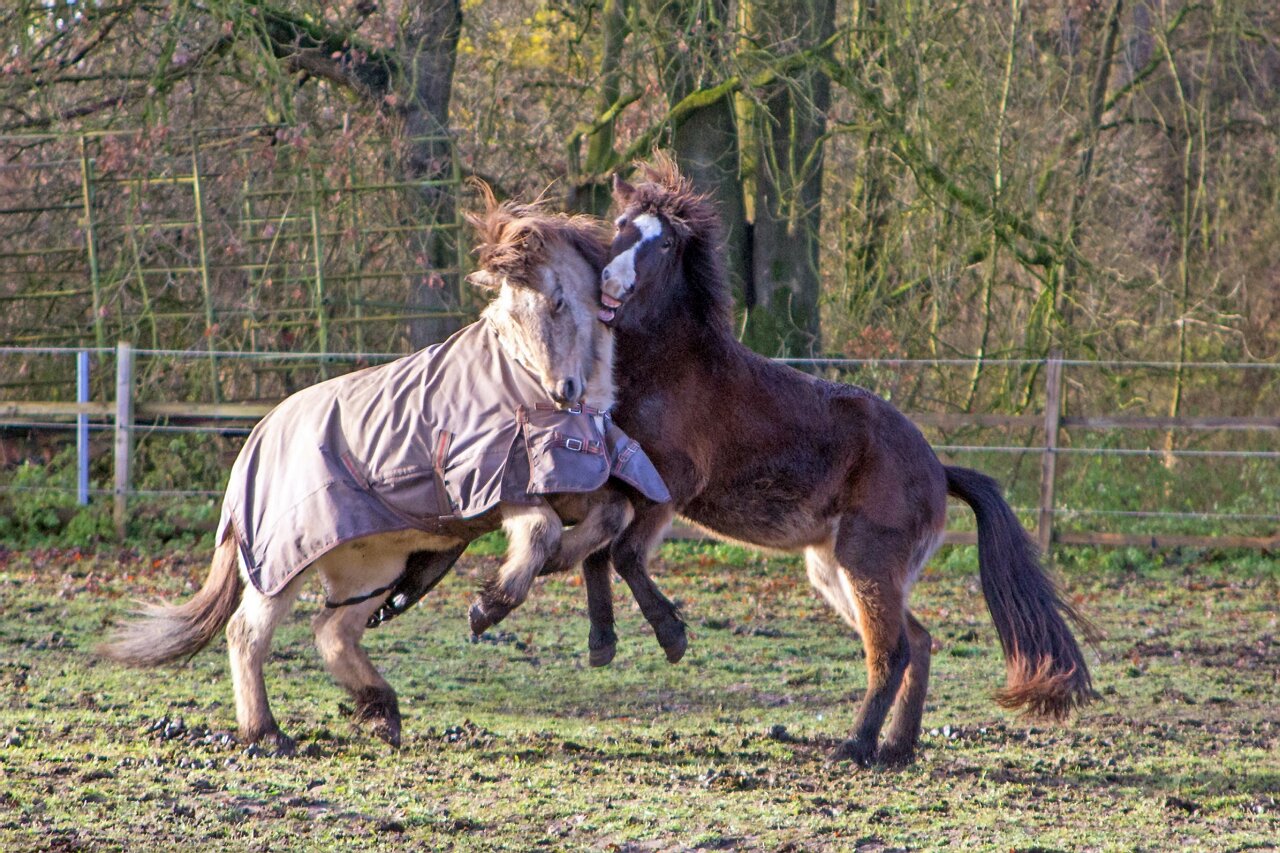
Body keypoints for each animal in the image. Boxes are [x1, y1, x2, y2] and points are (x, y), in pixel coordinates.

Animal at [97, 192, 670, 753]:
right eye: (508, 315)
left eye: (557, 302)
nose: (561, 391)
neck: (521, 384)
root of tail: (252, 449)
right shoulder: (495, 485)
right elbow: (541, 533)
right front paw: (488, 606)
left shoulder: (565, 478)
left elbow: (613, 513)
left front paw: (547, 569)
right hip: (282, 563)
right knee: (248, 634)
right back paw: (267, 732)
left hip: (370, 565)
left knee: (333, 631)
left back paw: (380, 712)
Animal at [586, 156, 1095, 768]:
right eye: (620, 225)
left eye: (663, 246)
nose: (609, 286)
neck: (672, 370)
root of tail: (938, 469)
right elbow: (597, 554)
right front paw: (601, 644)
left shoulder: (670, 485)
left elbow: (624, 555)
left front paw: (672, 637)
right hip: (835, 571)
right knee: (918, 641)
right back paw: (897, 747)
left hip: (866, 560)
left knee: (893, 651)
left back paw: (855, 745)